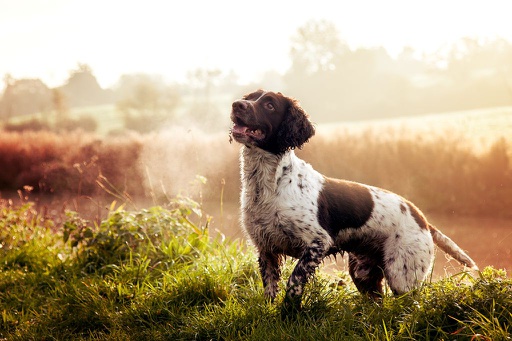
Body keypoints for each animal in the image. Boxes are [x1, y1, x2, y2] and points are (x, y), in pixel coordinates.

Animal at [230, 89, 478, 314]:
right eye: (249, 97)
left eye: (269, 105)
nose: (236, 105)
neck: (268, 185)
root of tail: (422, 218)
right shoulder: (266, 249)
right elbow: (270, 290)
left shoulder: (318, 242)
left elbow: (294, 282)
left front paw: (288, 315)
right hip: (363, 272)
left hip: (402, 276)